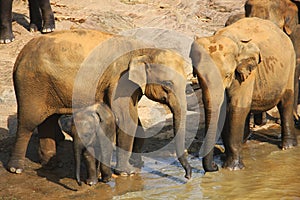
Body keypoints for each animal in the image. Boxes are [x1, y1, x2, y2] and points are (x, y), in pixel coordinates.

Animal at [7, 28, 192, 179]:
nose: (188, 176)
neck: (145, 49)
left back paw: (52, 164)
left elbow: (134, 118)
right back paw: (16, 169)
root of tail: (21, 54)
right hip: (31, 84)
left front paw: (138, 165)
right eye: (167, 85)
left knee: (48, 119)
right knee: (28, 122)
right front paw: (127, 172)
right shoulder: (120, 79)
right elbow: (126, 119)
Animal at [190, 17, 298, 172]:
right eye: (197, 75)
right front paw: (225, 161)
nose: (215, 166)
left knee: (285, 103)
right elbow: (226, 110)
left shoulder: (246, 73)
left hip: (290, 64)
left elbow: (236, 108)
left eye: (227, 75)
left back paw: (287, 148)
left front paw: (232, 169)